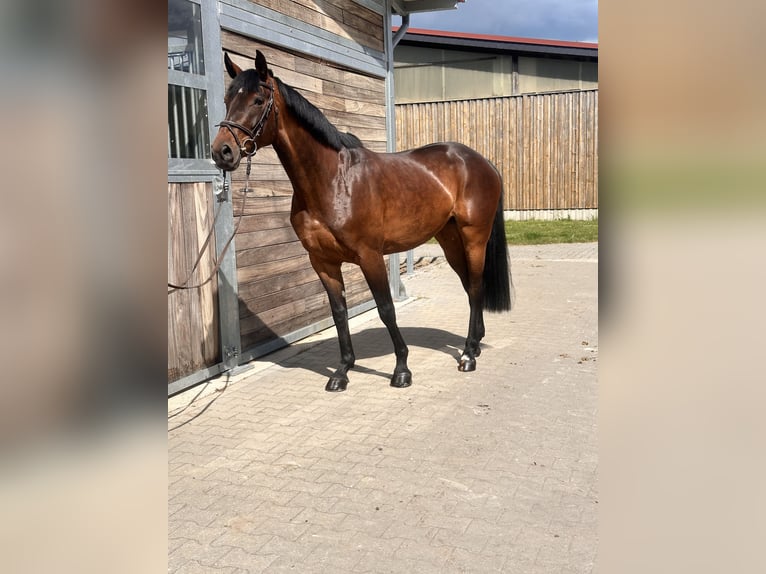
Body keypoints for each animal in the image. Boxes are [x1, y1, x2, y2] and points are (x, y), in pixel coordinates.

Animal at [211, 51, 512, 392]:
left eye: (258, 100)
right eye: (227, 99)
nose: (222, 151)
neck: (332, 181)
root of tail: (481, 161)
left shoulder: (370, 256)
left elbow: (386, 309)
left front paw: (401, 370)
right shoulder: (322, 262)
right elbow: (339, 313)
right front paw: (342, 371)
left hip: (474, 238)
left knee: (475, 286)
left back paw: (468, 356)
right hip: (450, 240)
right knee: (470, 287)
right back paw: (472, 346)